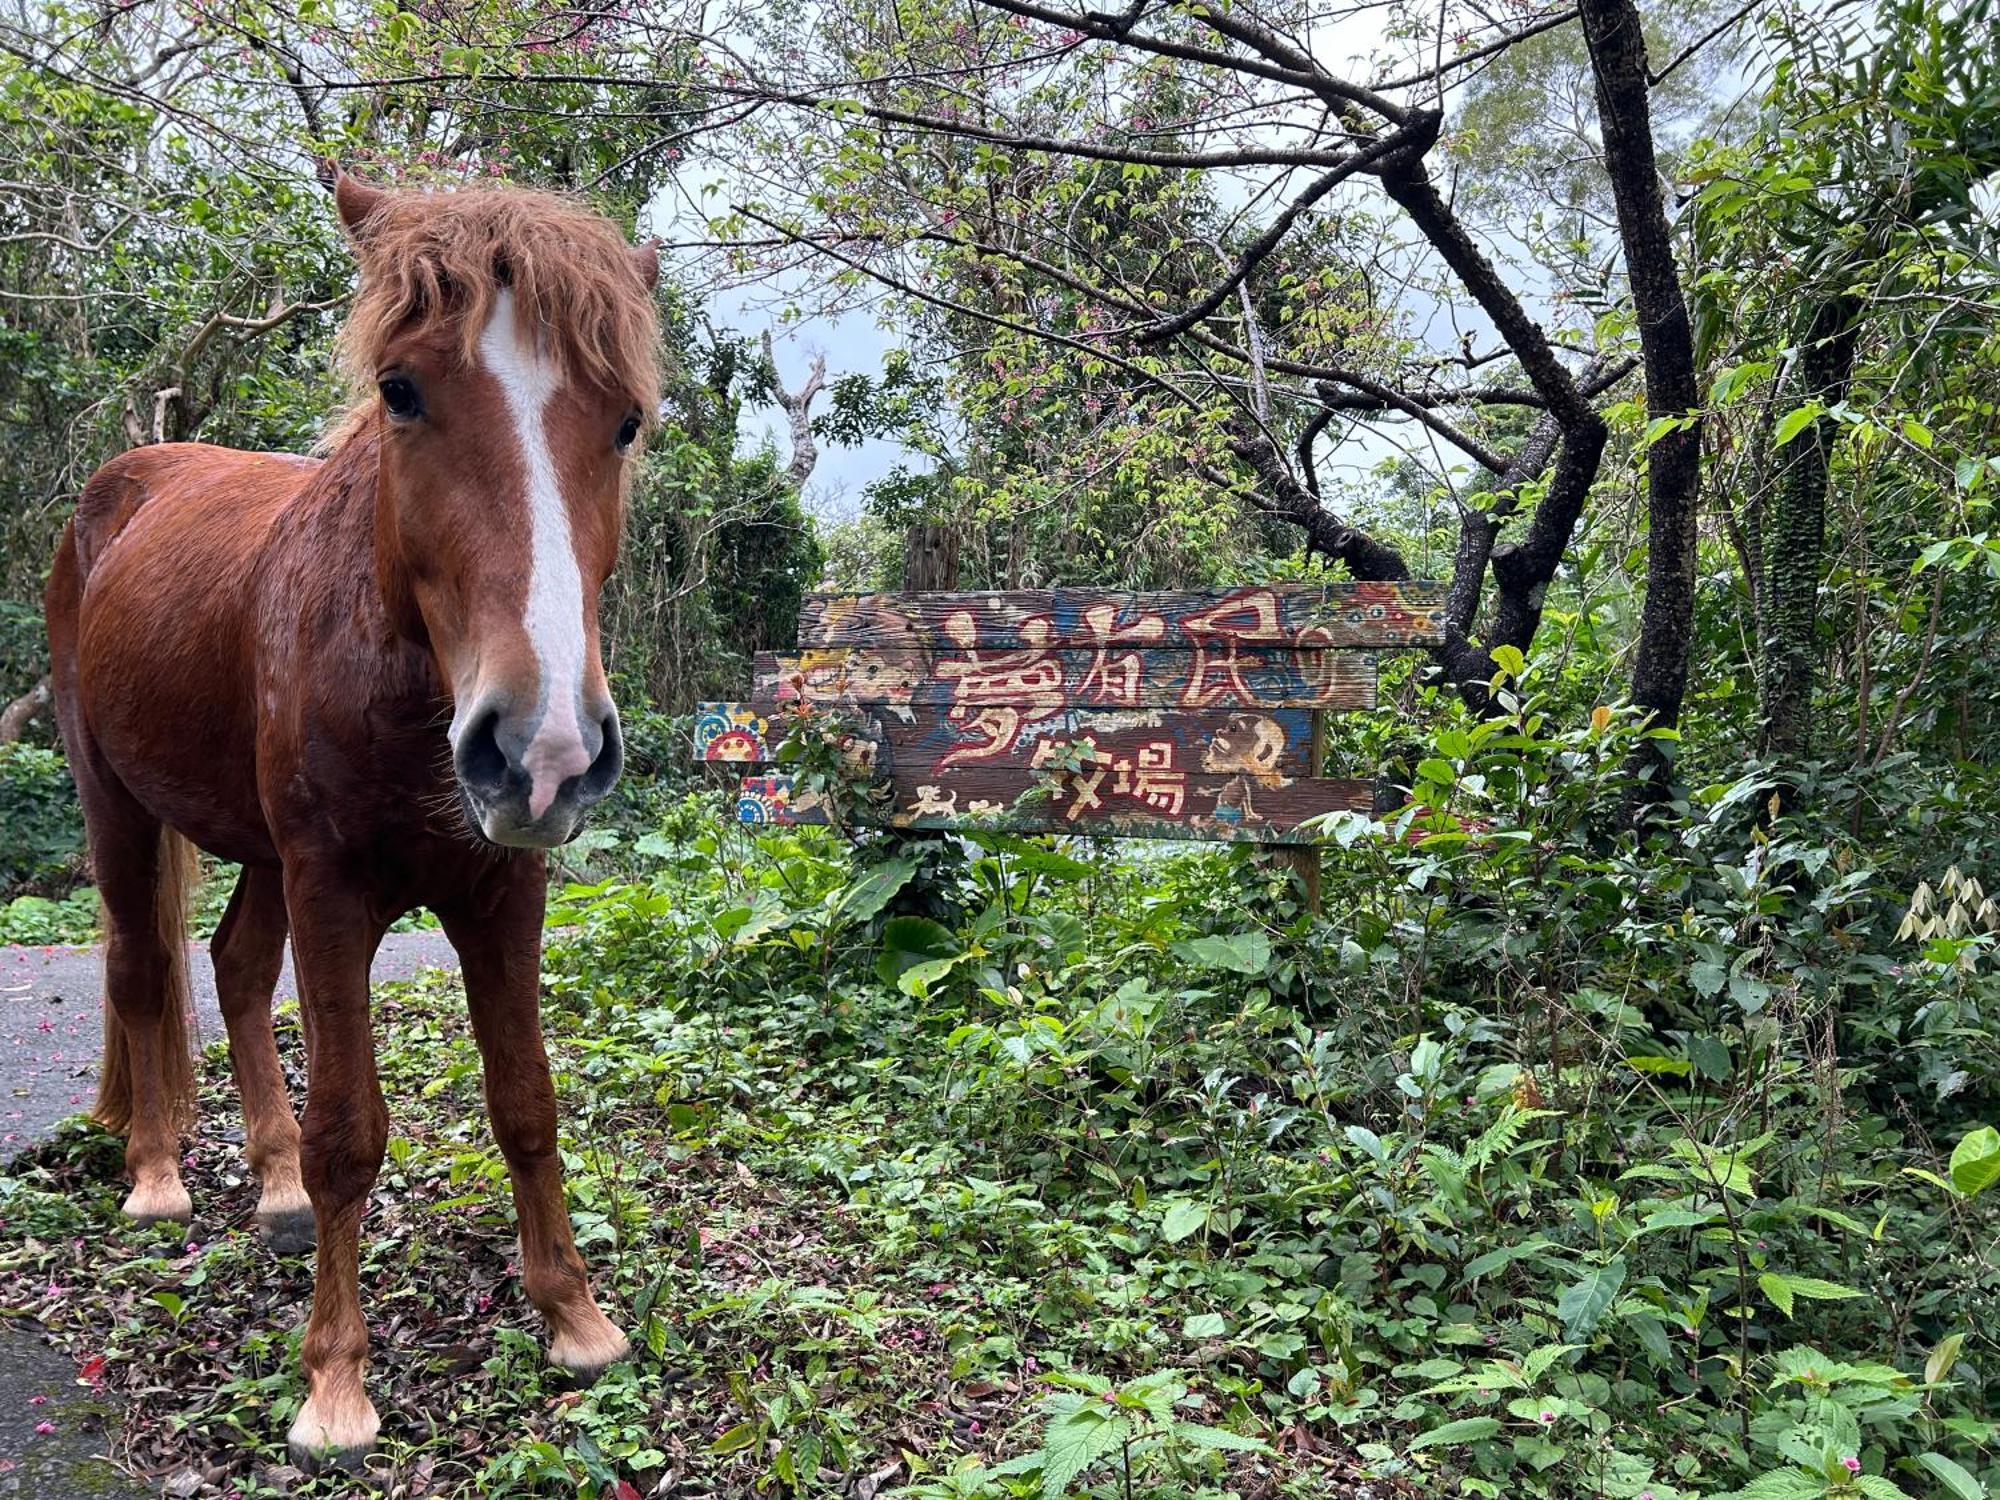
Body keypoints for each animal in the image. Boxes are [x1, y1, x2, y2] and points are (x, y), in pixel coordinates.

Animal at [45, 164, 664, 1472]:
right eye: (400, 391)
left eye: (625, 421)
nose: (541, 749)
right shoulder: (332, 891)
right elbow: (348, 1133)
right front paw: (334, 1388)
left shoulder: (502, 892)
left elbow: (525, 1102)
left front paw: (575, 1319)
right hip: (115, 804)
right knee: (141, 967)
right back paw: (157, 1174)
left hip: (259, 848)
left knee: (232, 966)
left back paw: (270, 1189)